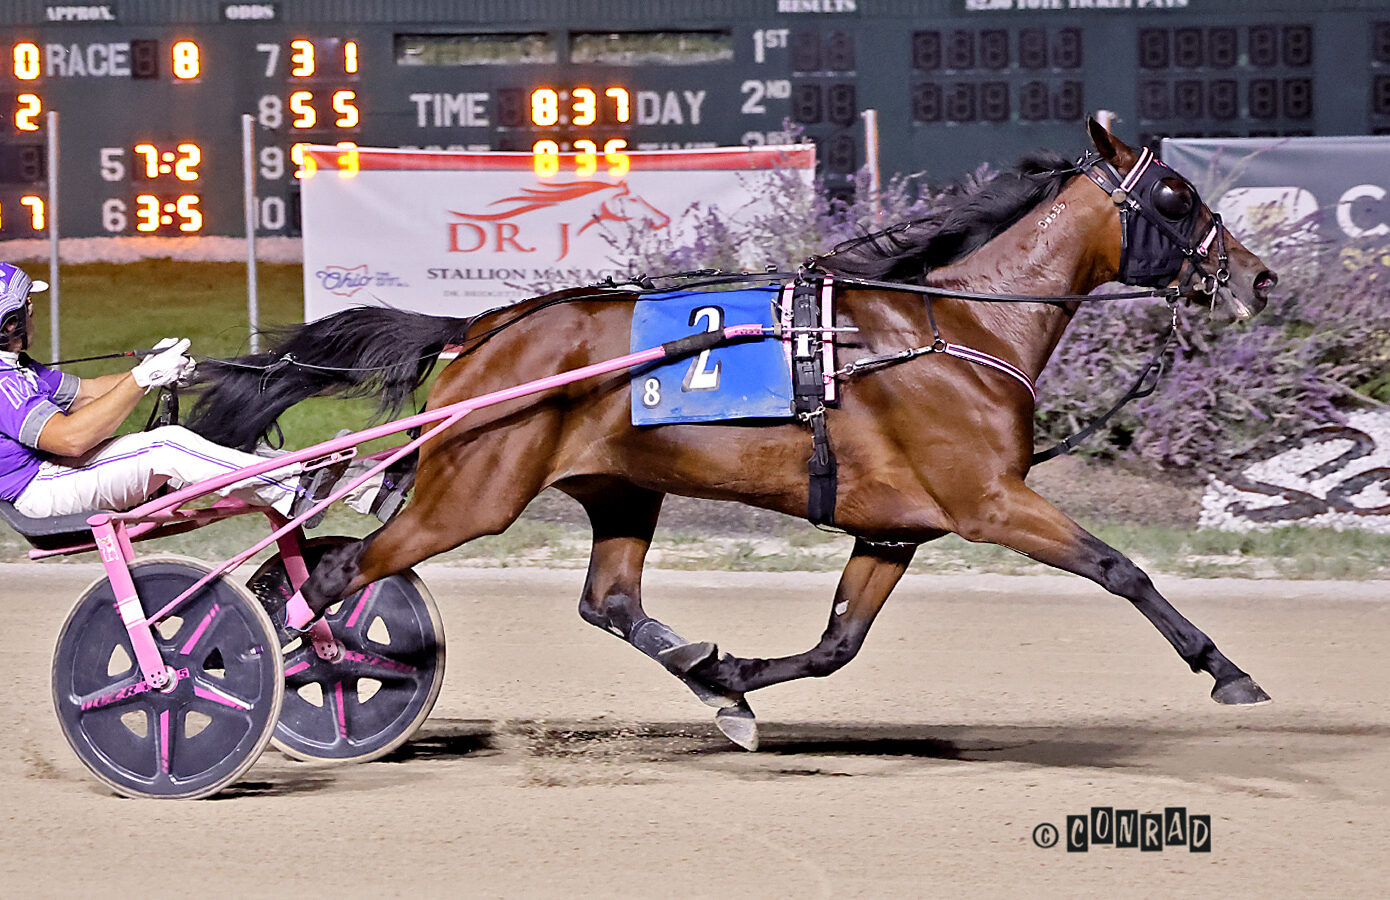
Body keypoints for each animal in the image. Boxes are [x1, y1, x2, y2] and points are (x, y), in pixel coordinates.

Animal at [187, 121, 1278, 749]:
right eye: (1176, 196)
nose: (1260, 278)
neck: (956, 328)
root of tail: (483, 328)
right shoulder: (990, 501)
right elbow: (1119, 568)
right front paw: (1227, 671)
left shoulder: (895, 526)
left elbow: (837, 643)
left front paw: (735, 681)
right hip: (473, 492)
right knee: (335, 575)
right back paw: (270, 668)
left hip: (621, 486)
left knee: (608, 601)